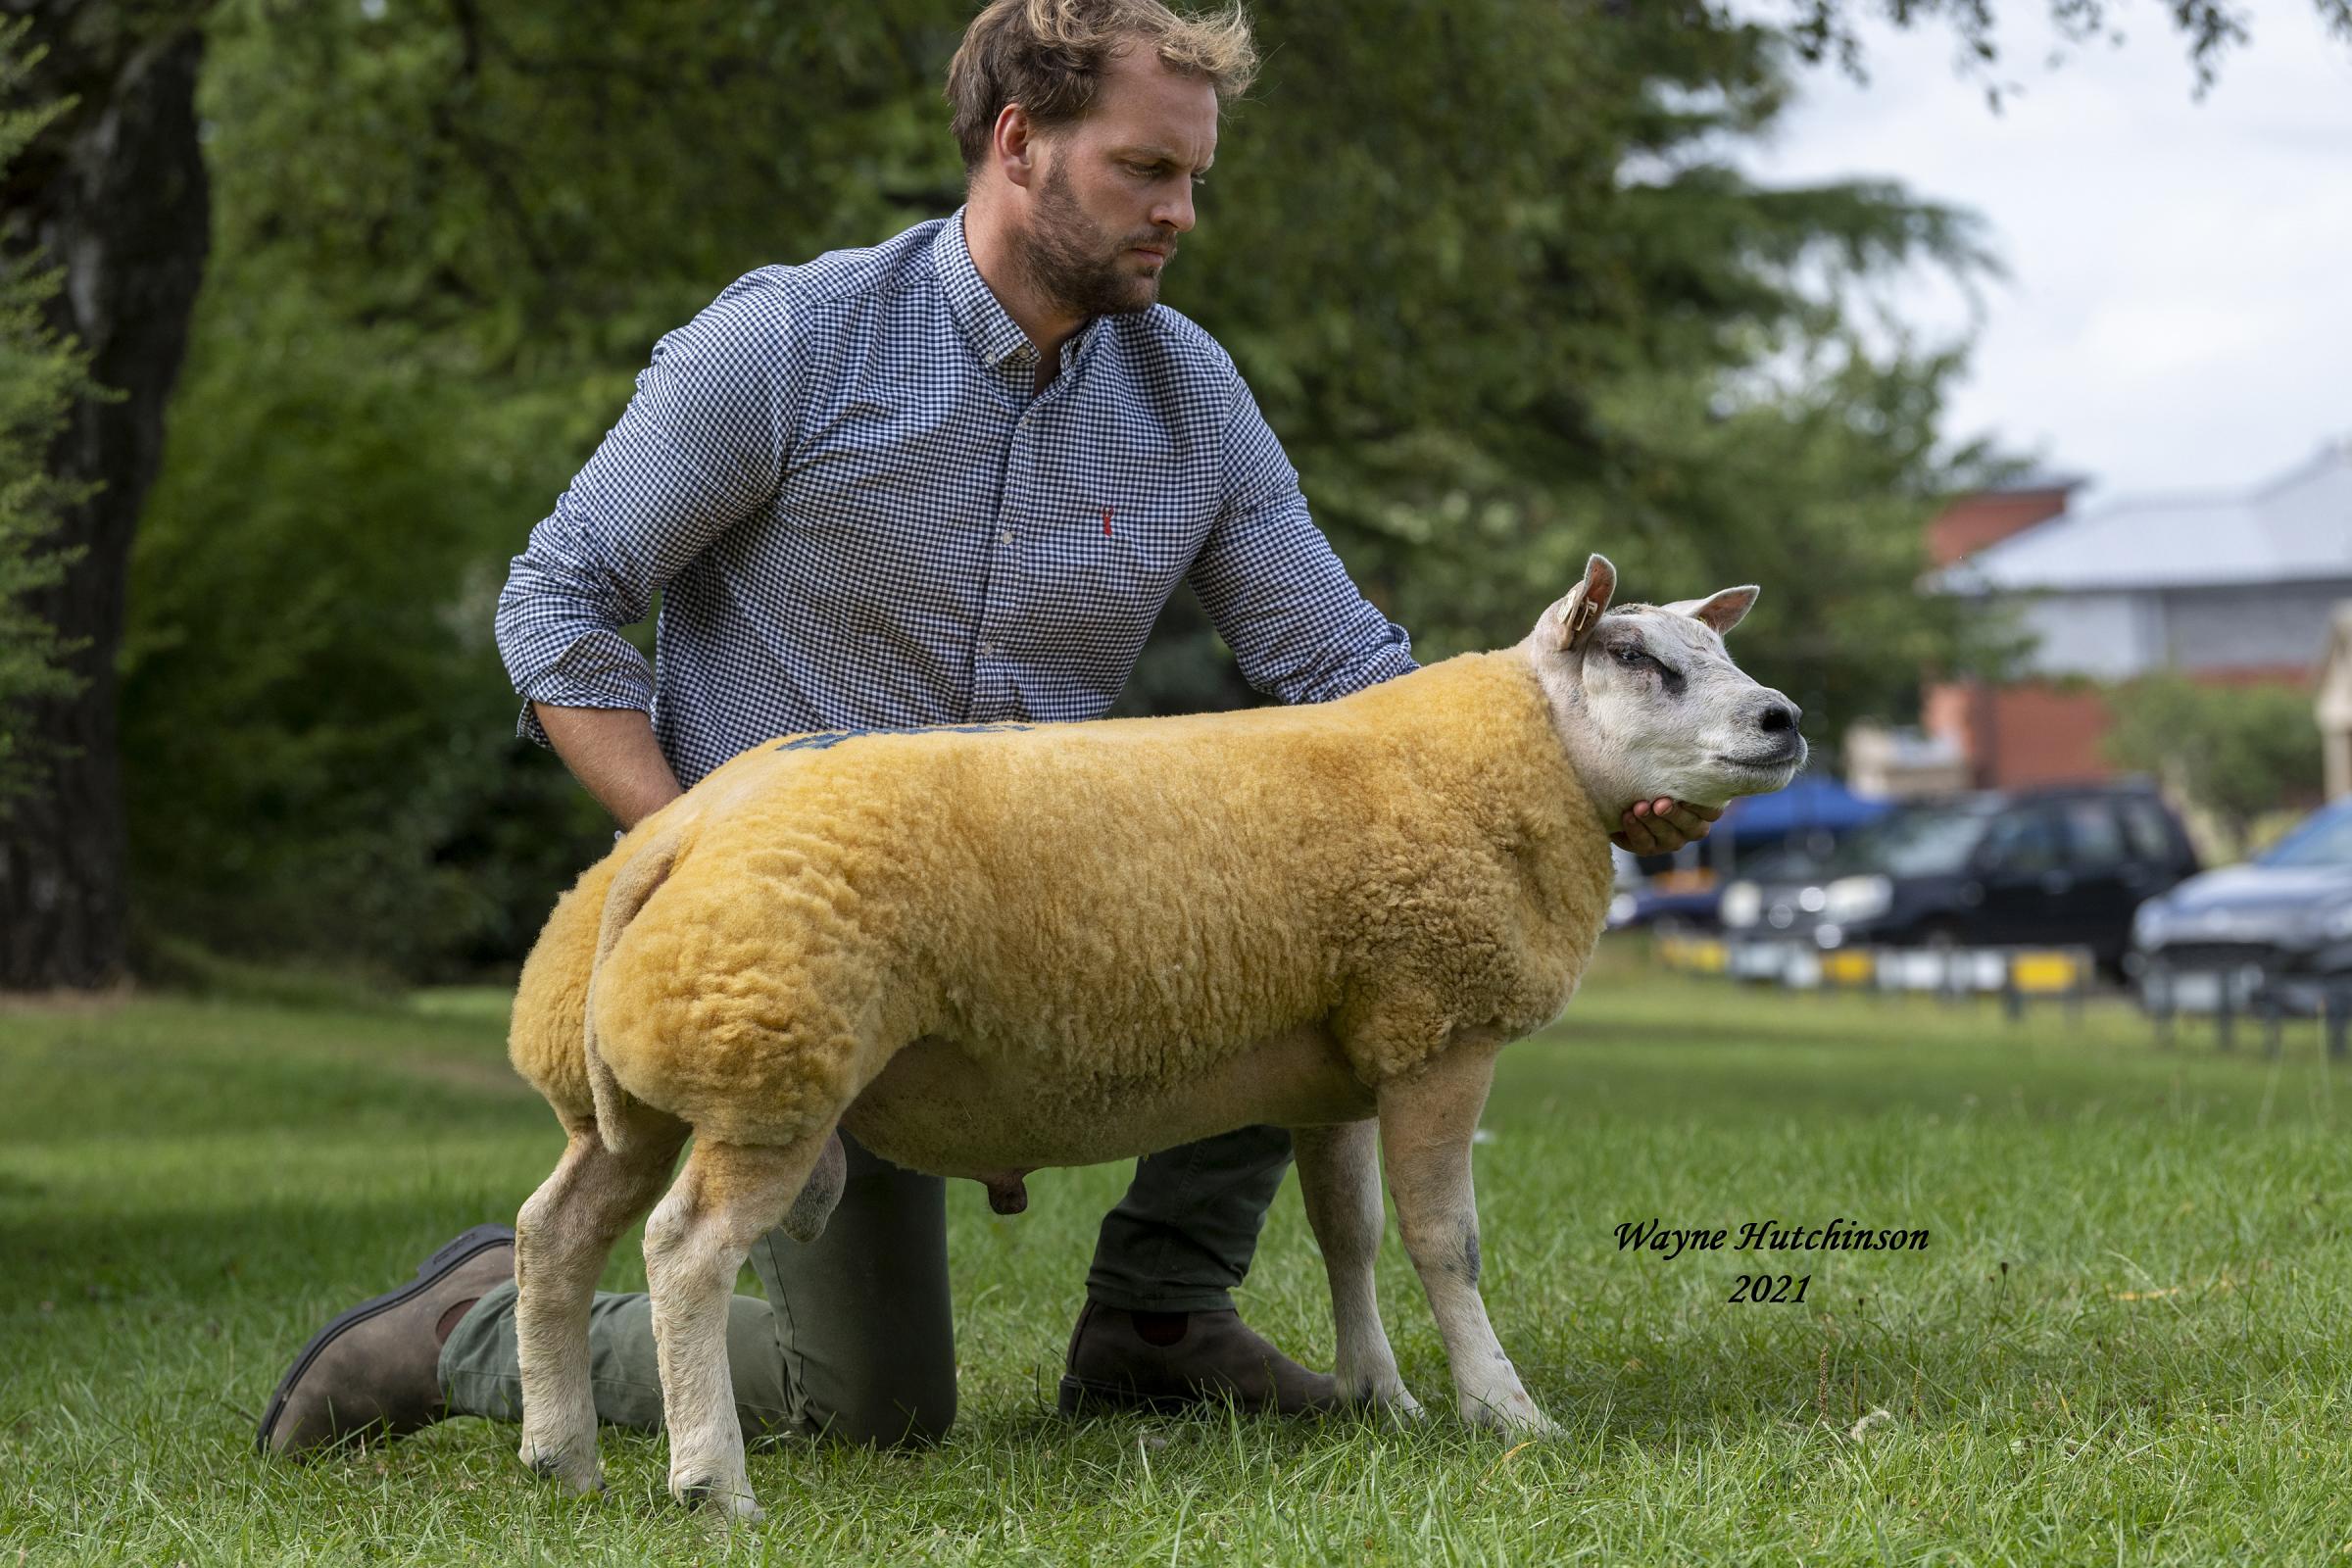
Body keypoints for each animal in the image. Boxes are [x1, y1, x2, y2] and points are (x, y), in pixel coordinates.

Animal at [506, 555, 1806, 1523]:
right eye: (1640, 660)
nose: (1784, 719)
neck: (1522, 759)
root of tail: (683, 826)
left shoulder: (1343, 1056)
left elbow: (1349, 1234)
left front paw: (1380, 1396)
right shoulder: (1439, 1028)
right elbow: (1449, 1244)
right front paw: (1505, 1410)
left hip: (640, 1088)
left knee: (553, 1232)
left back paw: (561, 1453)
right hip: (771, 1061)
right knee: (684, 1252)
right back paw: (710, 1481)